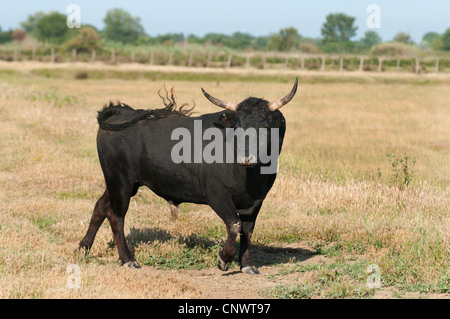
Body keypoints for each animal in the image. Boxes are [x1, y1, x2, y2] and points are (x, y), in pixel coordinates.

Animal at [80, 79, 298, 276]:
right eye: (237, 126)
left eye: (265, 126)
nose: (246, 158)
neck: (251, 176)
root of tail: (123, 112)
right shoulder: (217, 195)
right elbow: (234, 225)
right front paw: (224, 259)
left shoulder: (256, 202)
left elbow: (247, 231)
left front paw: (247, 265)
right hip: (120, 182)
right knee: (116, 216)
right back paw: (128, 259)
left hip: (119, 183)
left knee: (100, 207)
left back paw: (83, 248)